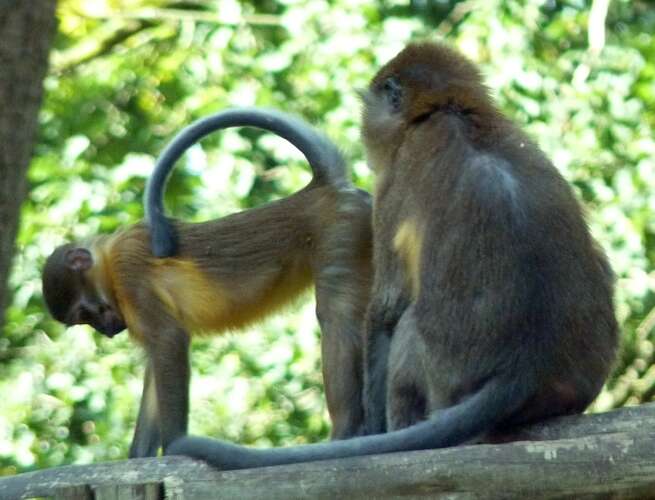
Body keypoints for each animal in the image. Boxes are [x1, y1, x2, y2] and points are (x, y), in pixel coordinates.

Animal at [42, 108, 374, 458]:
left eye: (86, 314)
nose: (104, 330)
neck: (108, 261)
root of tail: (324, 189)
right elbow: (154, 367)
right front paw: (137, 458)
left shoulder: (130, 274)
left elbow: (169, 340)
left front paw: (175, 445)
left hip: (342, 231)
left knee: (336, 314)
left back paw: (346, 429)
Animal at [167, 43, 616, 468]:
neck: (450, 112)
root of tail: (524, 367)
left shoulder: (392, 186)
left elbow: (386, 307)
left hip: (444, 376)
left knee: (408, 328)